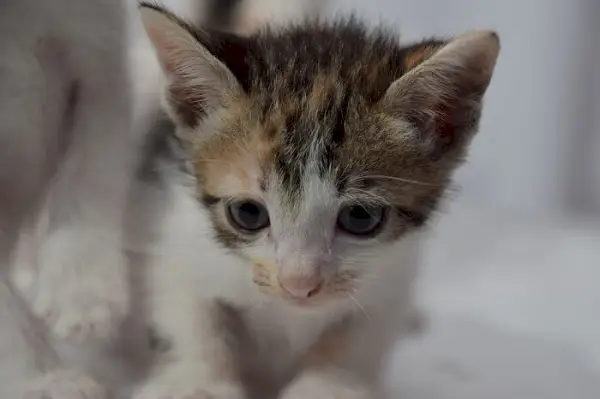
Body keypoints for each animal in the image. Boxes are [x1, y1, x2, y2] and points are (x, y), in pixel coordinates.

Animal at [131, 3, 502, 399]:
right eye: (247, 213)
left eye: (360, 217)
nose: (298, 285)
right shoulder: (176, 231)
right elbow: (191, 310)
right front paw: (200, 381)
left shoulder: (394, 271)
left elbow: (362, 329)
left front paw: (329, 383)